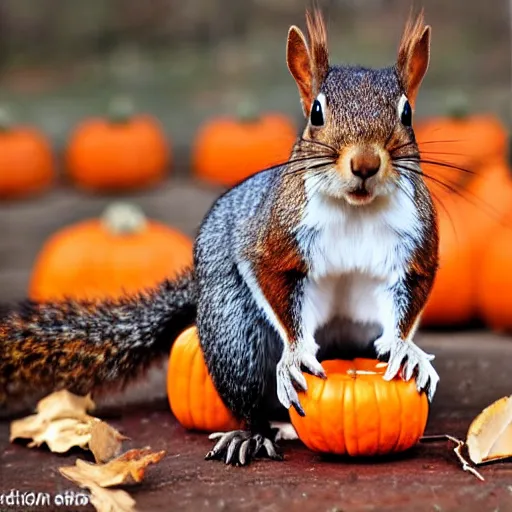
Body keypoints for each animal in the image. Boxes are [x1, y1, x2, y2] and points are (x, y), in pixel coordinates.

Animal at [1, 7, 440, 464]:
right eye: (316, 113)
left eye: (407, 114)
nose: (365, 164)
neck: (356, 209)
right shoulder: (272, 241)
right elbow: (272, 283)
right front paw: (295, 354)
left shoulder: (417, 248)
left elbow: (409, 299)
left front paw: (406, 349)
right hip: (233, 332)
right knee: (246, 391)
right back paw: (254, 432)